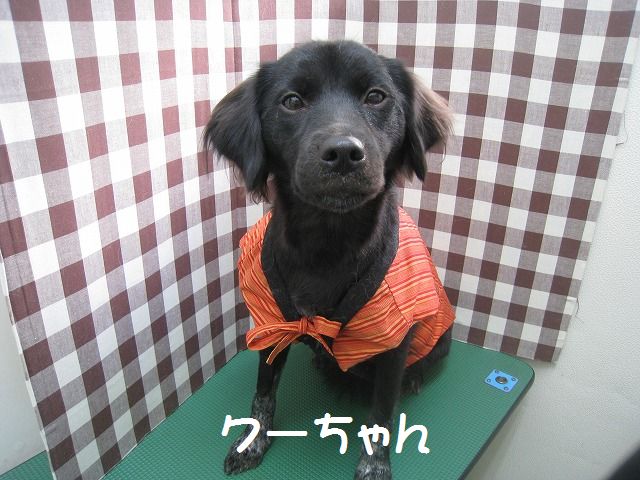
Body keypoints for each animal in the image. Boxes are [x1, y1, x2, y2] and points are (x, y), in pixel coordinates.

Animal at [204, 40, 454, 480]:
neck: (326, 243)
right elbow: (263, 394)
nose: (342, 153)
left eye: (376, 96)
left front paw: (374, 465)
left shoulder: (395, 341)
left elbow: (382, 414)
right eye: (292, 101)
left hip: (438, 339)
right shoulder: (272, 325)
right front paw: (252, 442)